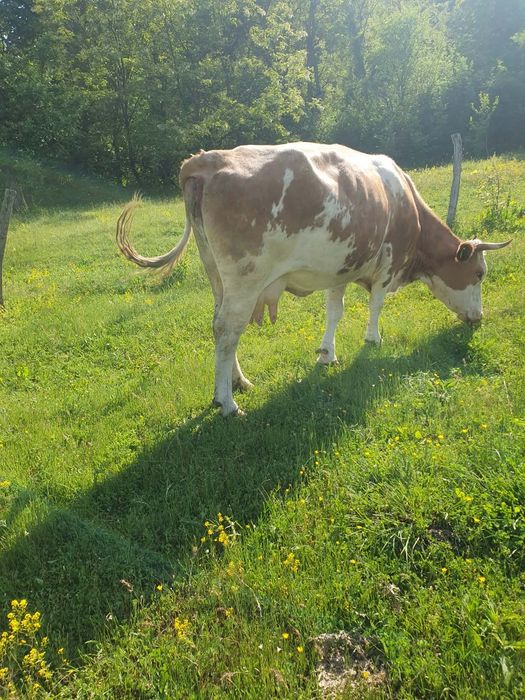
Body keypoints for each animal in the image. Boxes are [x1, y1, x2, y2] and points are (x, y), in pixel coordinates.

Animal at [116, 142, 510, 416]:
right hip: (245, 278)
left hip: (216, 274)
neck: (405, 204)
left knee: (219, 324)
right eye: (479, 273)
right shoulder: (387, 264)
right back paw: (226, 402)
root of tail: (208, 160)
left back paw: (238, 382)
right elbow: (376, 305)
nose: (479, 318)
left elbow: (334, 311)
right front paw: (373, 339)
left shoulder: (341, 266)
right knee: (228, 329)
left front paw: (326, 353)